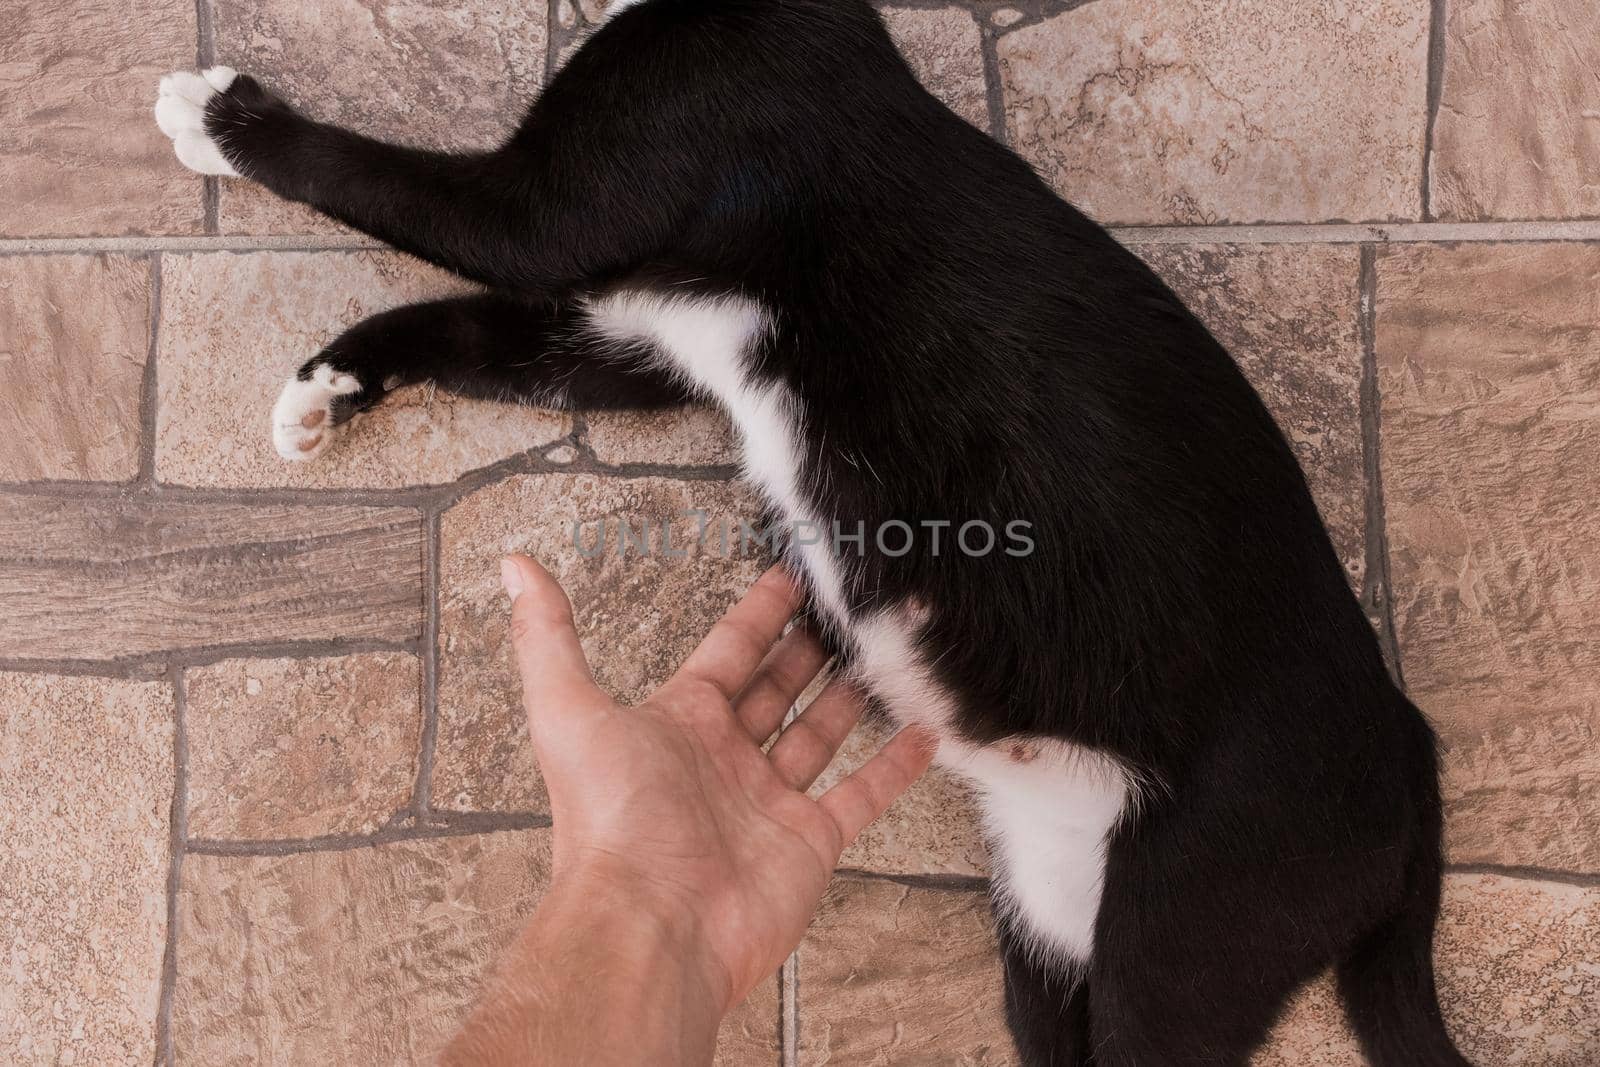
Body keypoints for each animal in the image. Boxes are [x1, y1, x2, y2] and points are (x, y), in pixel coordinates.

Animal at [156, 4, 1465, 1062]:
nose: (331, 388)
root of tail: (1411, 747)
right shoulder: (633, 337)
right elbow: (478, 330)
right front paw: (332, 385)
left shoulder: (565, 202)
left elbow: (389, 183)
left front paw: (223, 115)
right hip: (1053, 925)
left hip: (1176, 935)